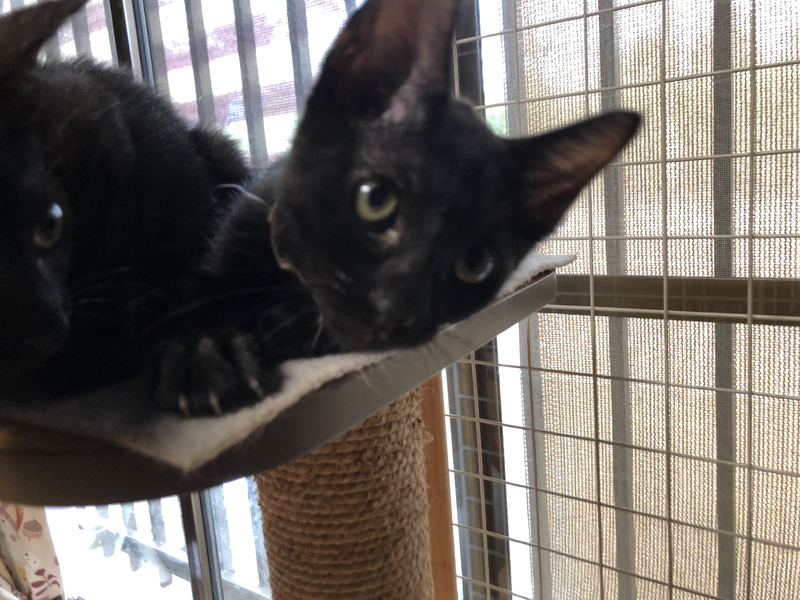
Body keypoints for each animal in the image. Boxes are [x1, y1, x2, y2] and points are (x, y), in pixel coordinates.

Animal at [152, 0, 640, 416]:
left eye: (475, 263)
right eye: (375, 200)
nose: (395, 311)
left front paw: (276, 329)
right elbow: (200, 293)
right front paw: (209, 353)